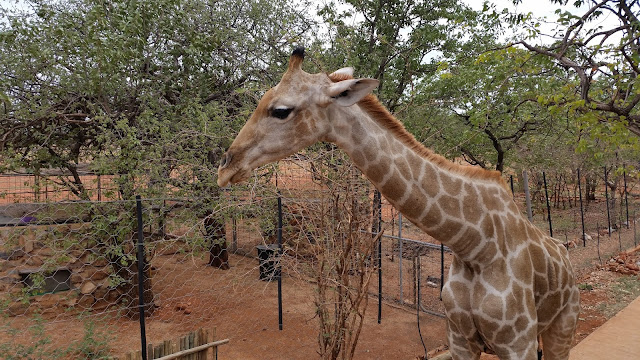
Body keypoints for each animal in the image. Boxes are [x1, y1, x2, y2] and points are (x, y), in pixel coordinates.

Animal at [219, 49, 580, 360]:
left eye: (280, 110)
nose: (224, 167)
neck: (475, 245)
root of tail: (565, 253)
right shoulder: (459, 339)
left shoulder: (517, 342)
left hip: (562, 325)